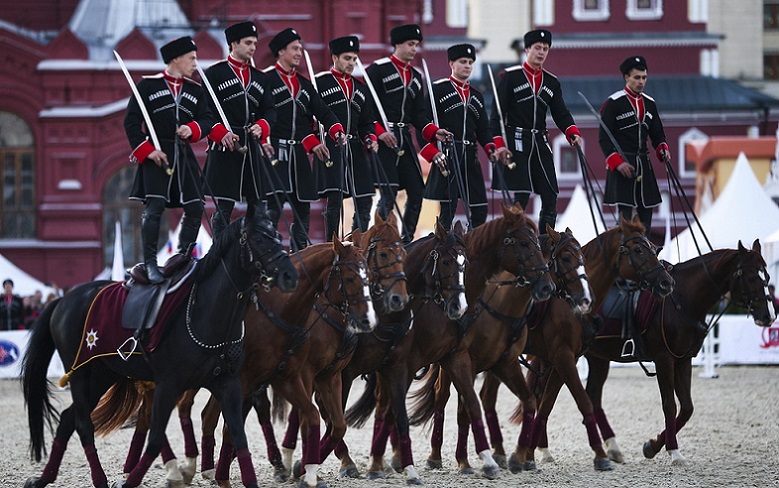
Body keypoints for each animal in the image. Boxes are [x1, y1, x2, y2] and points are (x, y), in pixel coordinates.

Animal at [20, 217, 302, 488]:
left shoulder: (228, 383)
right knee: (82, 424)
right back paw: (98, 479)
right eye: (259, 239)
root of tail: (64, 299)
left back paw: (45, 478)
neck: (206, 311)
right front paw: (135, 480)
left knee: (67, 420)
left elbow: (239, 435)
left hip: (102, 375)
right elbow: (155, 439)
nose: (290, 275)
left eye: (276, 235)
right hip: (80, 374)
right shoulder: (169, 384)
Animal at [408, 227, 592, 474]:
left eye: (582, 257)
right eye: (565, 258)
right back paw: (436, 455)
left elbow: (540, 402)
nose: (585, 298)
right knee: (441, 396)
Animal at [476, 217, 676, 472]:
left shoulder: (561, 361)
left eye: (654, 247)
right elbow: (583, 401)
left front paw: (529, 456)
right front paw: (600, 456)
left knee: (487, 395)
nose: (666, 282)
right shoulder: (563, 358)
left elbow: (546, 405)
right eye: (639, 250)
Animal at [576, 239, 776, 466]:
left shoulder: (683, 360)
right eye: (751, 277)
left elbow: (687, 408)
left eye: (767, 276)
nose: (768, 316)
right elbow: (669, 405)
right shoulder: (664, 359)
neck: (682, 298)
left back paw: (612, 447)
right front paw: (673, 450)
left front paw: (652, 446)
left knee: (593, 396)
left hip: (598, 358)